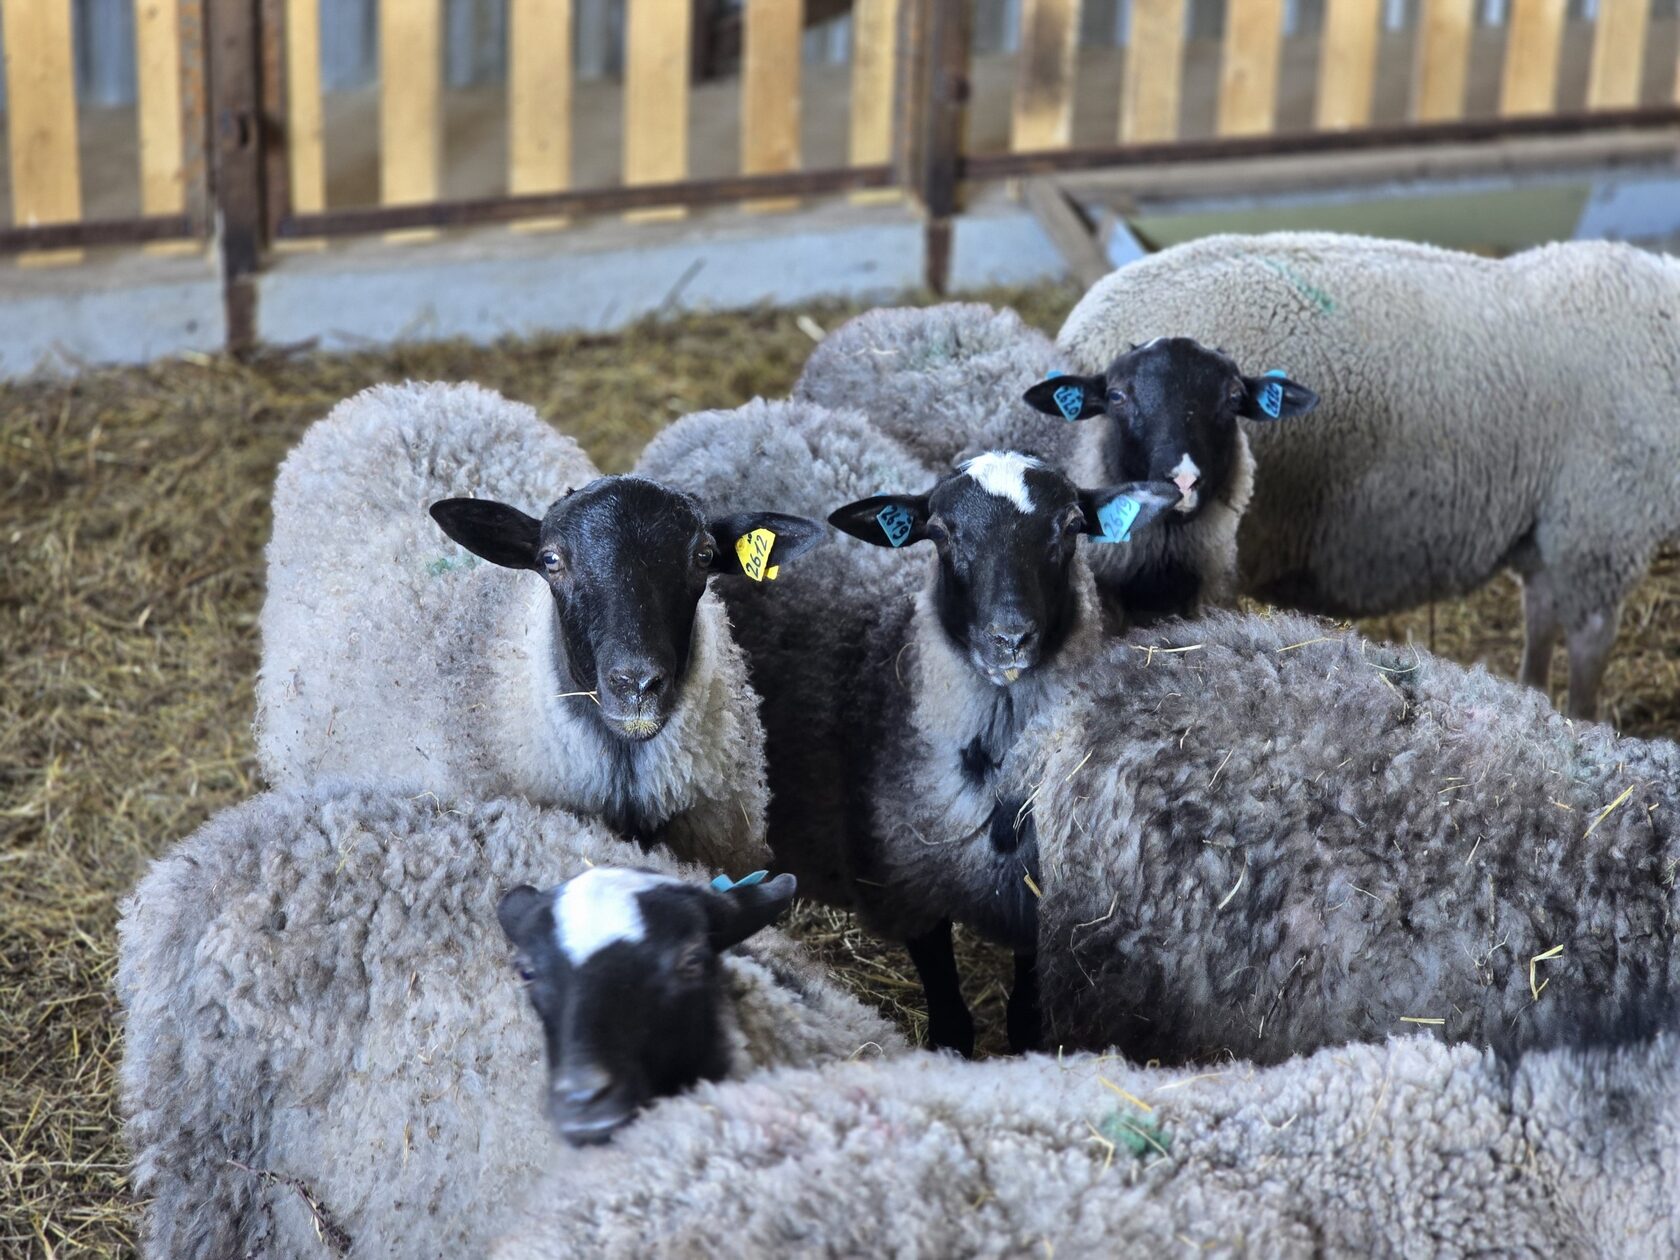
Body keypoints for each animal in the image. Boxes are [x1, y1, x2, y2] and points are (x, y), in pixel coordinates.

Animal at [638, 398, 1175, 1054]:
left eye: (1072, 526)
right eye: (942, 533)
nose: (1010, 637)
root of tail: (744, 411)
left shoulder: (1037, 906)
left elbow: (1024, 1018)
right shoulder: (905, 887)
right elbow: (950, 1018)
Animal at [1056, 231, 1680, 719]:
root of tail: (1078, 332)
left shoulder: (1559, 531)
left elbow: (1540, 623)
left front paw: (1535, 698)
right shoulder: (1602, 530)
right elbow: (1590, 651)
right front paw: (1583, 721)